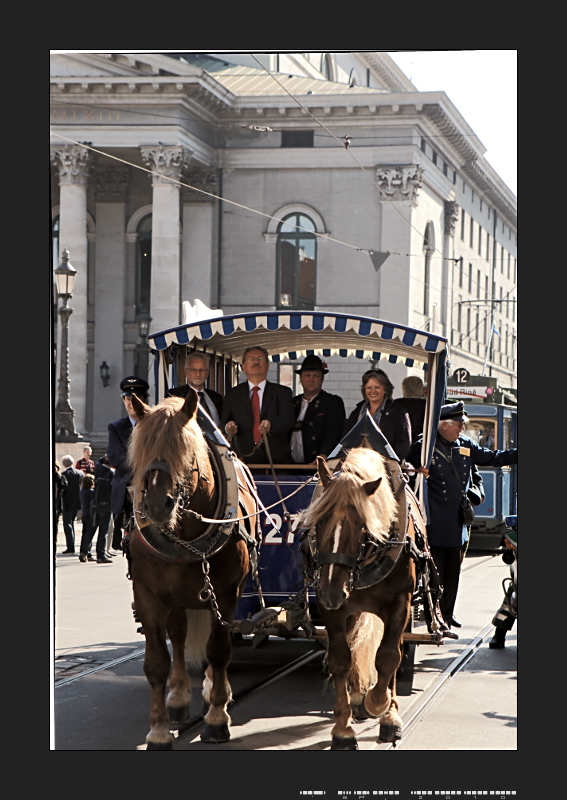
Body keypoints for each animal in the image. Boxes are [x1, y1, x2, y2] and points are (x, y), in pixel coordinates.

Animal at [127, 390, 258, 748]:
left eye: (185, 453)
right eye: (141, 450)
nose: (156, 506)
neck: (183, 535)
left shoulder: (226, 593)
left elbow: (219, 650)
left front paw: (216, 718)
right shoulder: (149, 596)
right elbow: (157, 662)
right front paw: (158, 730)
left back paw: (215, 693)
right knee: (179, 635)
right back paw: (178, 697)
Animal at [300, 450, 424, 752]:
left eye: (360, 524)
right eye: (320, 519)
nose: (331, 592)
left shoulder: (401, 603)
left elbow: (390, 656)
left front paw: (381, 706)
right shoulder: (332, 609)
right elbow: (340, 659)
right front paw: (343, 730)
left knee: (394, 650)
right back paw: (357, 699)